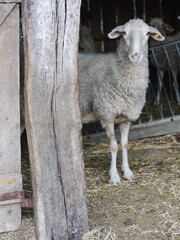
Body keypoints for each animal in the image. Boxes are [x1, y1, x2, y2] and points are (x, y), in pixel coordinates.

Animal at [79, 18, 165, 184]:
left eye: (147, 33)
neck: (117, 71)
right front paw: (114, 176)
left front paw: (127, 171)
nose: (135, 56)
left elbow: (124, 144)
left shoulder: (126, 118)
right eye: (124, 33)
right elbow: (113, 146)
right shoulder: (107, 115)